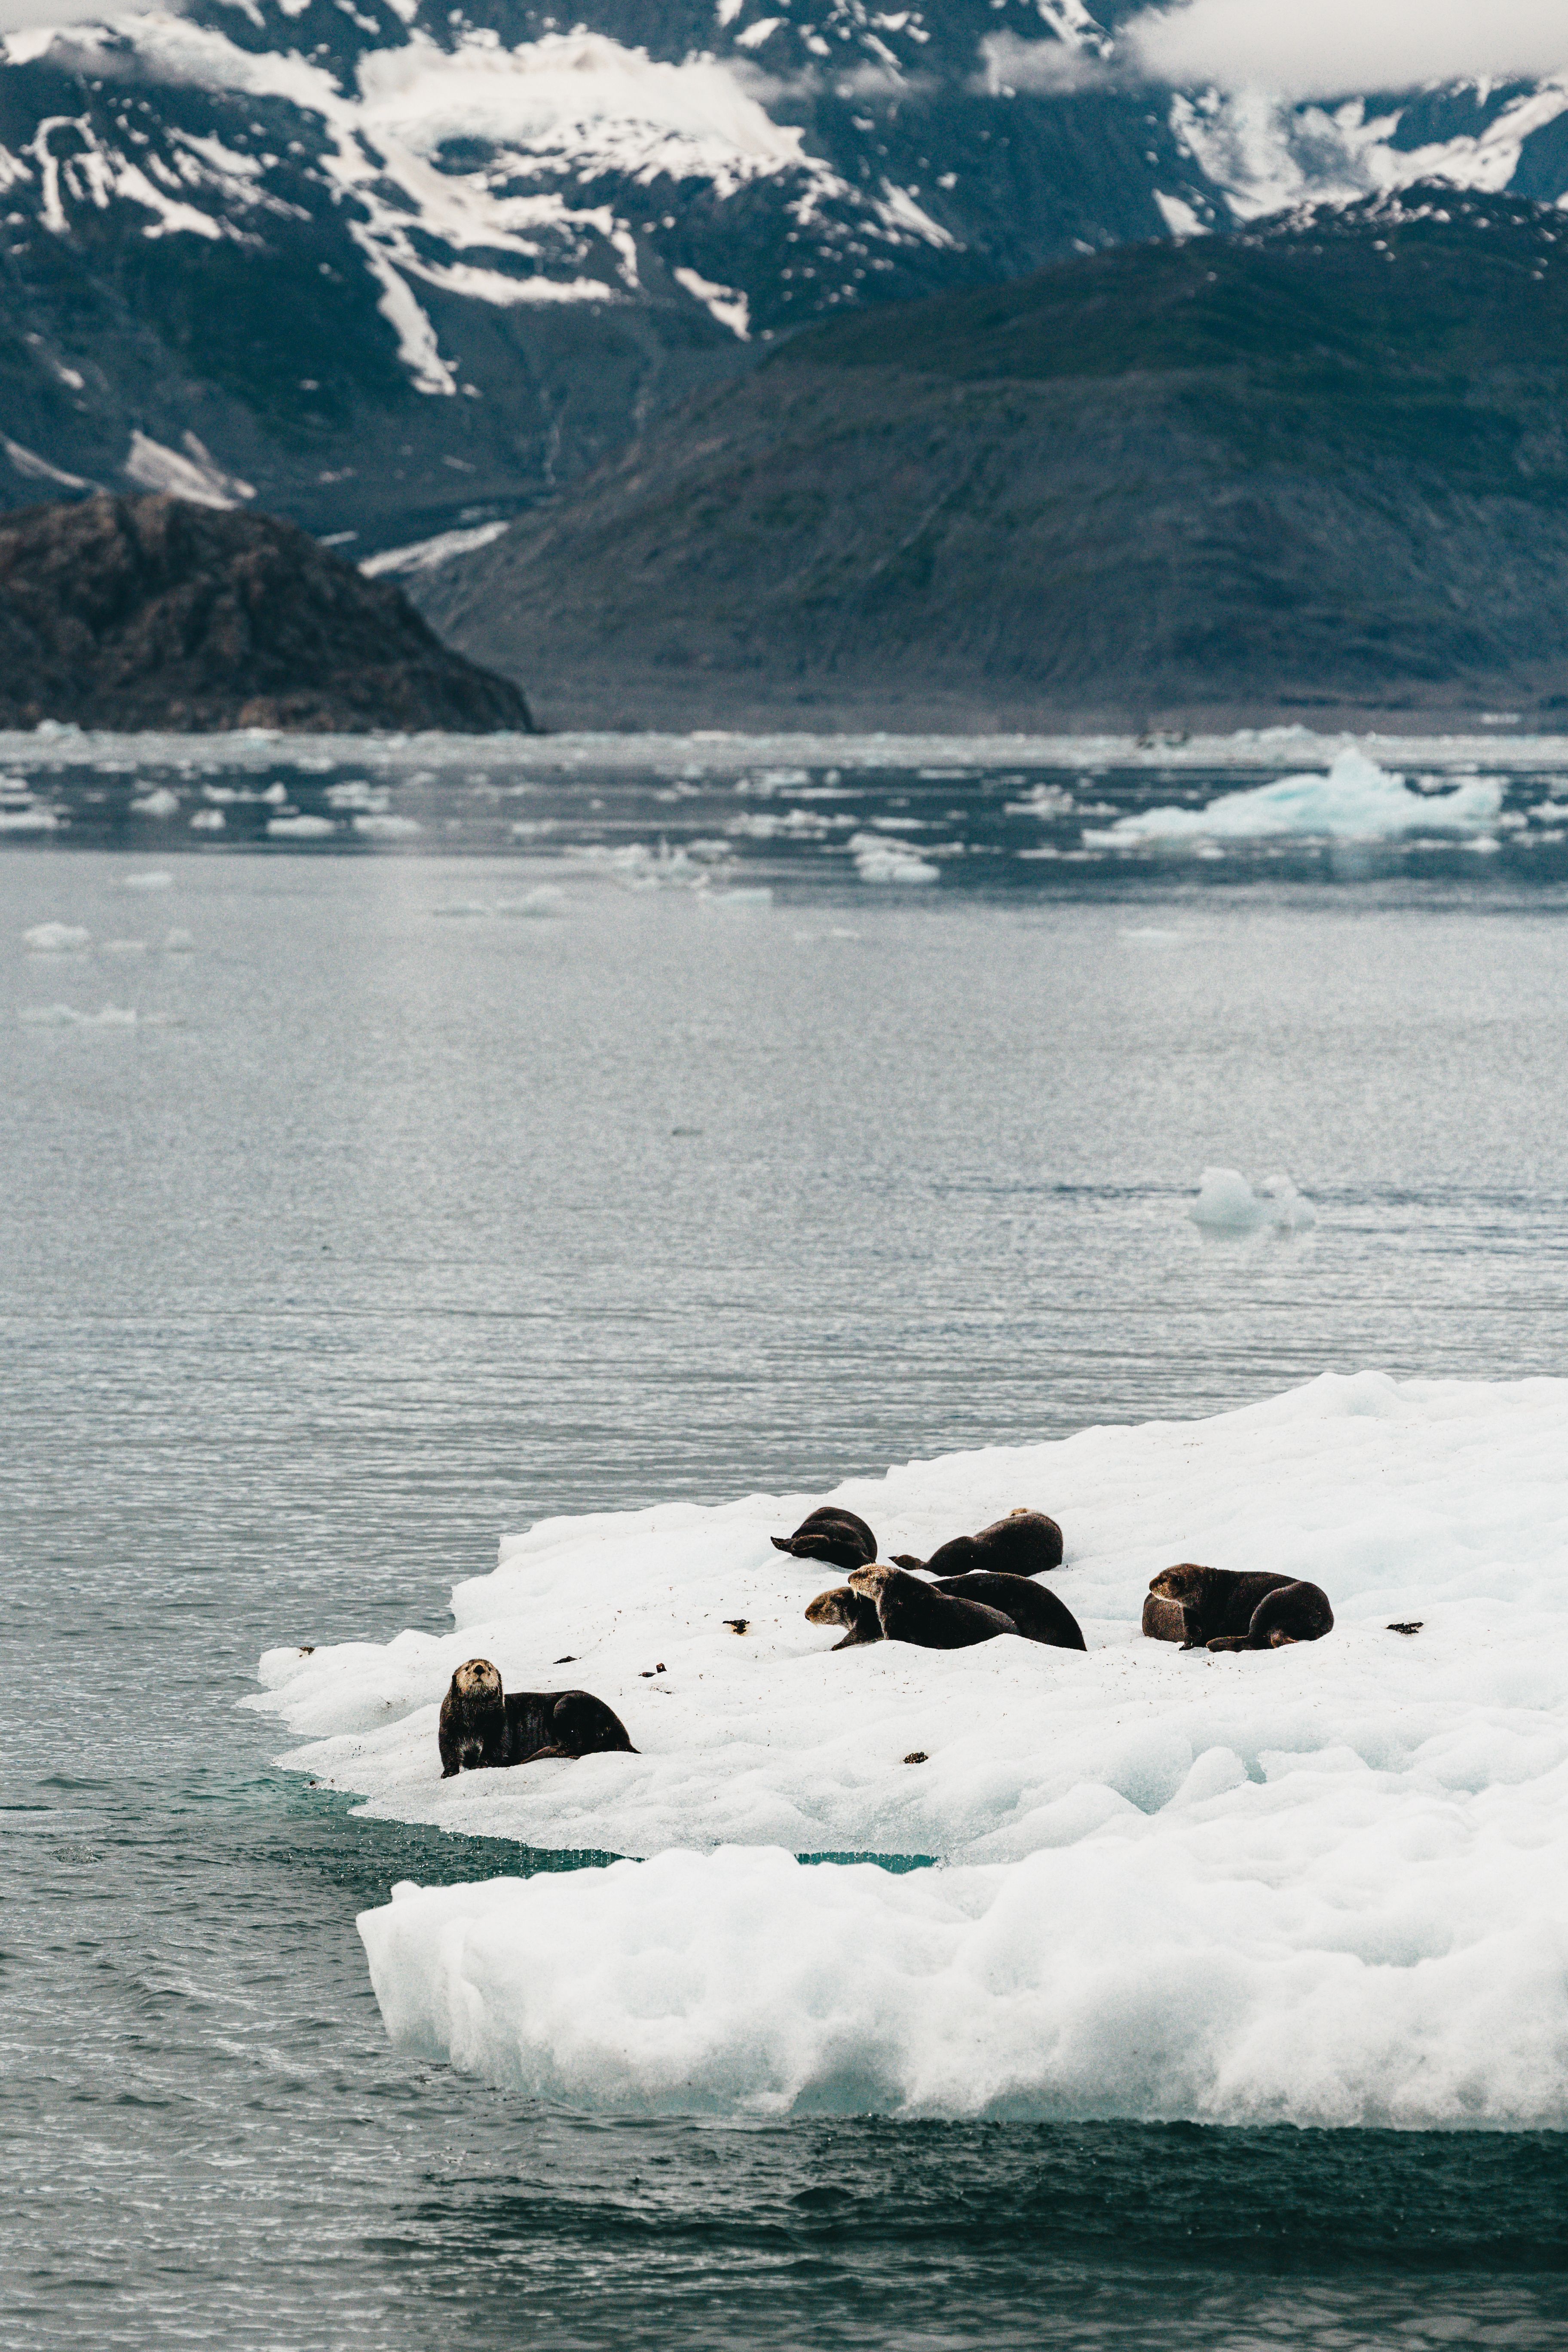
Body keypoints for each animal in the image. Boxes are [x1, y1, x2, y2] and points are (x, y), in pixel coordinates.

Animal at [438, 1658, 637, 1777]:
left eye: (490, 1668)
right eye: (467, 1668)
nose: (479, 1668)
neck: (474, 1722)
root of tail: (622, 1736)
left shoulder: (499, 1727)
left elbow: (496, 1750)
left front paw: (479, 1766)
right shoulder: (447, 1727)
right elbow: (448, 1751)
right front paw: (449, 1773)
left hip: (567, 1706)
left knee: (575, 1746)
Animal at [1143, 1565, 1334, 1652]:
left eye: (1162, 1580)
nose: (1151, 1584)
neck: (1208, 1591)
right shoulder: (1191, 1615)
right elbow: (1192, 1634)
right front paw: (1186, 1646)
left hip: (1271, 1602)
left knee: (1254, 1640)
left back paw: (1215, 1643)